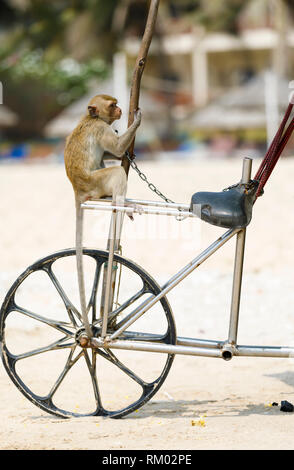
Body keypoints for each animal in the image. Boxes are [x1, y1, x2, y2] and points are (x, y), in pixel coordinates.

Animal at [64, 94, 142, 338]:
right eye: (112, 105)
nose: (120, 110)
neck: (91, 117)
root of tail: (78, 190)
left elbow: (113, 152)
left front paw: (128, 152)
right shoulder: (100, 128)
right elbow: (115, 148)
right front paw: (138, 118)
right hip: (96, 182)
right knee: (115, 172)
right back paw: (122, 204)